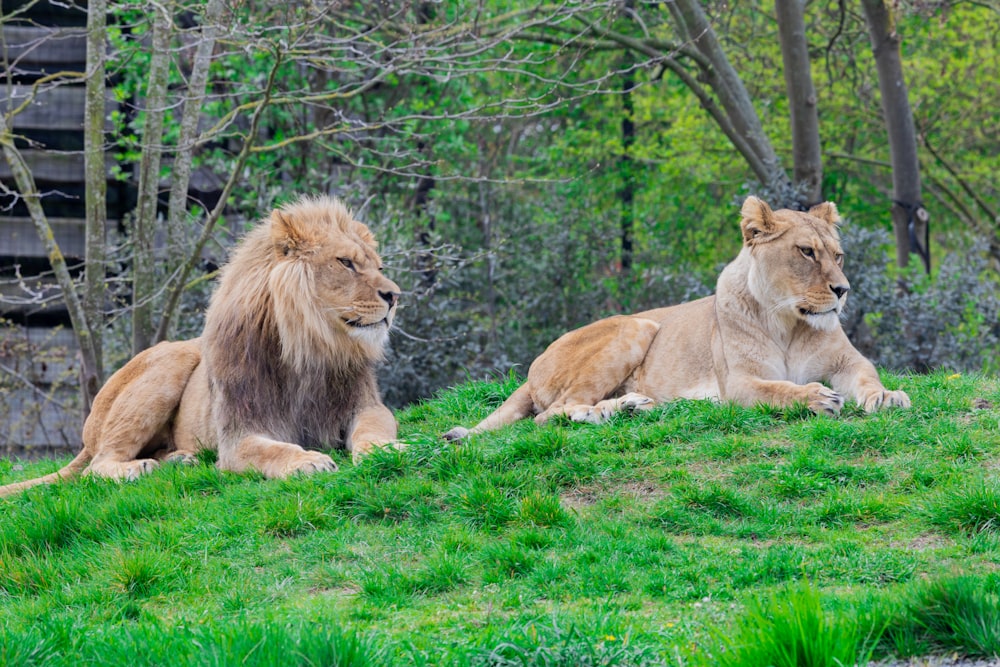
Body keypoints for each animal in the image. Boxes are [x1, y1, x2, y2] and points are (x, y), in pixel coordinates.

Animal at [3, 196, 402, 498]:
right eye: (345, 262)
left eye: (379, 266)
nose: (395, 295)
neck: (309, 349)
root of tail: (88, 433)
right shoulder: (238, 435)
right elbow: (271, 449)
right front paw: (308, 460)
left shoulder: (366, 405)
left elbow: (373, 431)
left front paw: (388, 451)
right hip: (171, 360)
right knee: (96, 467)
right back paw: (139, 468)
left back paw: (182, 460)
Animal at [446, 196, 908, 440]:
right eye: (807, 252)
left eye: (838, 255)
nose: (843, 290)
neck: (790, 323)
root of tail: (531, 370)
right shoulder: (738, 382)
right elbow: (779, 390)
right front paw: (816, 398)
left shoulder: (848, 362)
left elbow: (868, 377)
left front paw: (887, 397)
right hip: (636, 324)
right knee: (554, 413)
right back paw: (614, 409)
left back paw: (632, 406)